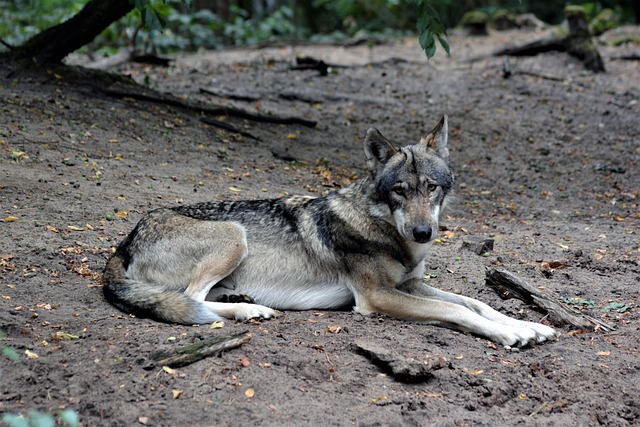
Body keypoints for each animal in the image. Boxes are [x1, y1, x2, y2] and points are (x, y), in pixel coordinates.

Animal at [104, 116, 556, 348]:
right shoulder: (378, 297)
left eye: (431, 187)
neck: (381, 226)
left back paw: (242, 300)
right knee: (191, 300)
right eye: (400, 190)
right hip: (234, 235)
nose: (423, 232)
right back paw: (250, 311)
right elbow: (458, 311)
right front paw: (509, 334)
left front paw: (527, 326)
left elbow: (474, 302)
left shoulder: (409, 286)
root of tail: (125, 240)